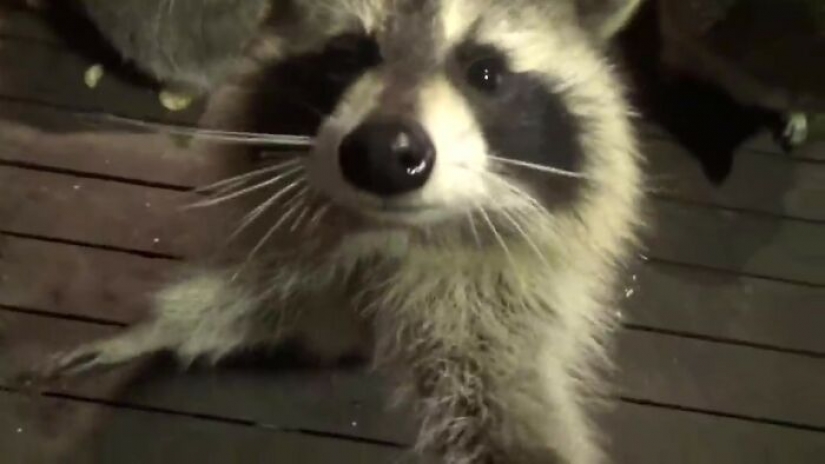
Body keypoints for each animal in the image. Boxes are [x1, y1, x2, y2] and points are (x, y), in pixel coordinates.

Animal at [31, 1, 646, 463]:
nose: (385, 153)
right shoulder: (317, 257)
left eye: (486, 72)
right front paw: (158, 327)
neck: (395, 236)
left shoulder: (499, 292)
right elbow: (267, 297)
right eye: (347, 57)